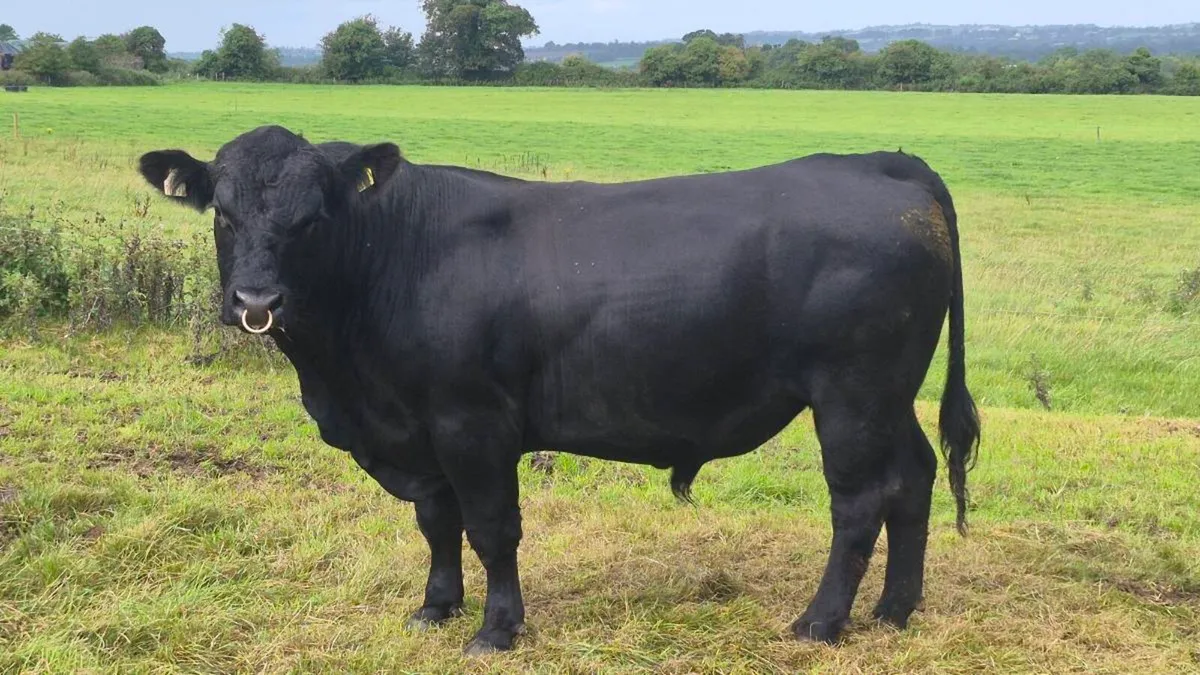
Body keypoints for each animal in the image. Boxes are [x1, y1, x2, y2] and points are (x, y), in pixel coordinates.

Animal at [138, 125, 980, 655]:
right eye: (222, 212)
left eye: (313, 217)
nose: (256, 301)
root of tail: (883, 162)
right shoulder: (415, 429)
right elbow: (436, 523)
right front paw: (435, 607)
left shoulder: (472, 420)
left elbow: (491, 527)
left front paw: (495, 628)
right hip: (890, 396)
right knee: (915, 478)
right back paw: (895, 610)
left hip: (852, 395)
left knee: (861, 501)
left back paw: (821, 621)